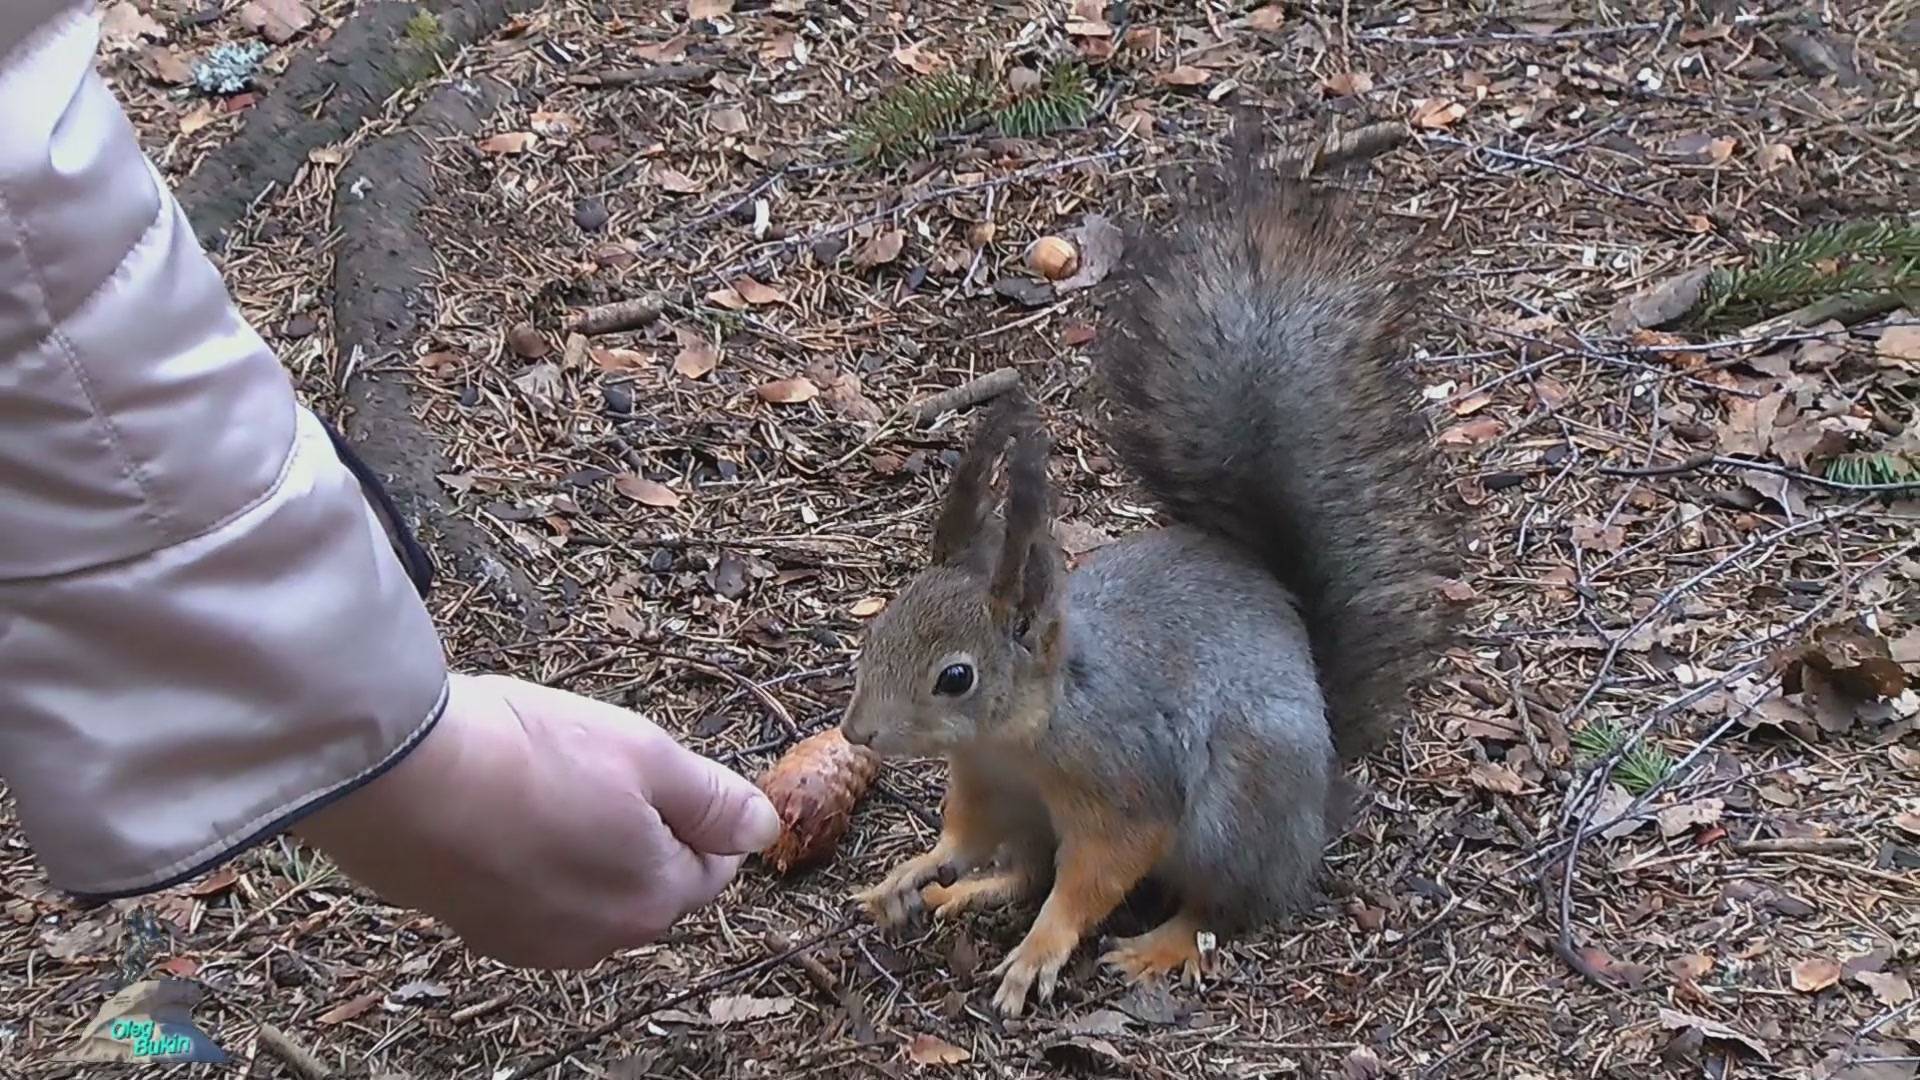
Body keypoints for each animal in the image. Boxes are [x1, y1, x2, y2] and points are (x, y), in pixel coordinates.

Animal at [837, 122, 1451, 1014]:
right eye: (877, 631)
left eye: (956, 677)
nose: (858, 733)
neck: (1024, 733)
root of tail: (1321, 797)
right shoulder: (986, 785)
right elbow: (966, 838)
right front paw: (914, 871)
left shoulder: (1125, 784)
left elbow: (1095, 876)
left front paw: (1041, 951)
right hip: (1045, 819)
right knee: (1024, 867)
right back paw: (972, 892)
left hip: (1238, 813)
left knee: (1225, 908)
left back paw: (1163, 943)